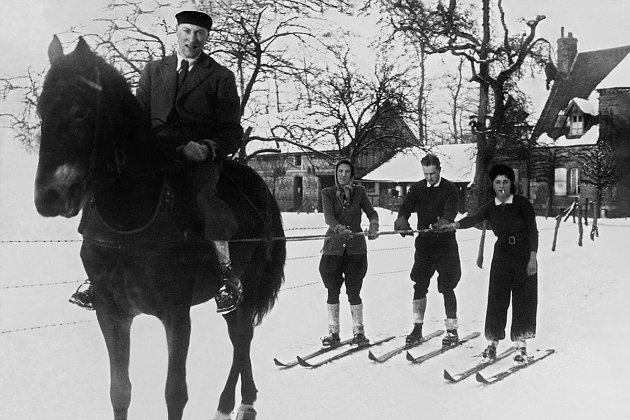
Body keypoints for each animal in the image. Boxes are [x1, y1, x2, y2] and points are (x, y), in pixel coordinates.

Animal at [34, 37, 286, 420]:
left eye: (81, 112)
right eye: (41, 110)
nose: (48, 197)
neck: (132, 218)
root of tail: (263, 190)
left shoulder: (176, 314)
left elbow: (175, 393)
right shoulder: (112, 314)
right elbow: (120, 391)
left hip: (249, 282)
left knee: (242, 339)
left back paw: (236, 403)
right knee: (239, 337)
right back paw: (237, 401)